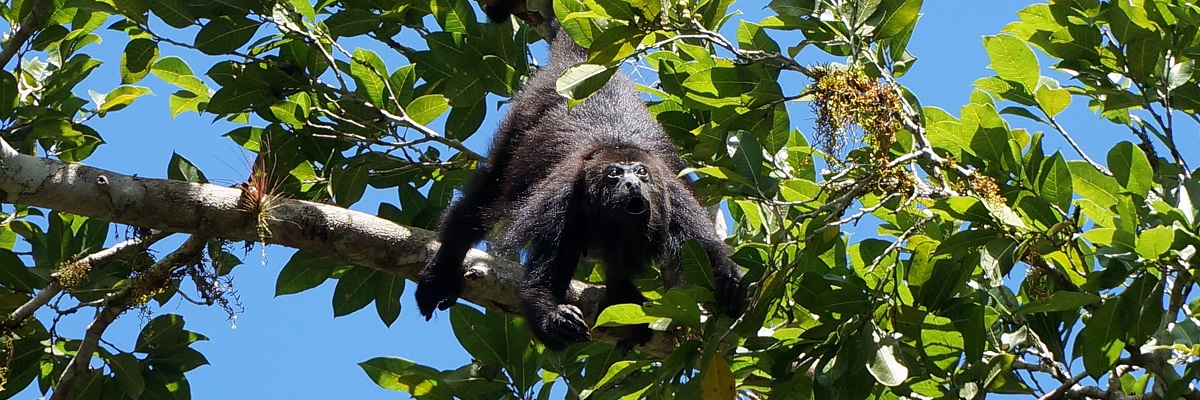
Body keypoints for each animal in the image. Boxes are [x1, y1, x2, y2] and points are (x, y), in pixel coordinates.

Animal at [417, 0, 744, 348]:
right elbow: (538, 283)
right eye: (614, 173)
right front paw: (553, 318)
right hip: (520, 120)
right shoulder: (558, 203)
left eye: (642, 172)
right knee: (486, 196)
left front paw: (728, 277)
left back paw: (621, 296)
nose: (631, 183)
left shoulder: (675, 199)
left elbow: (706, 246)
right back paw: (442, 269)